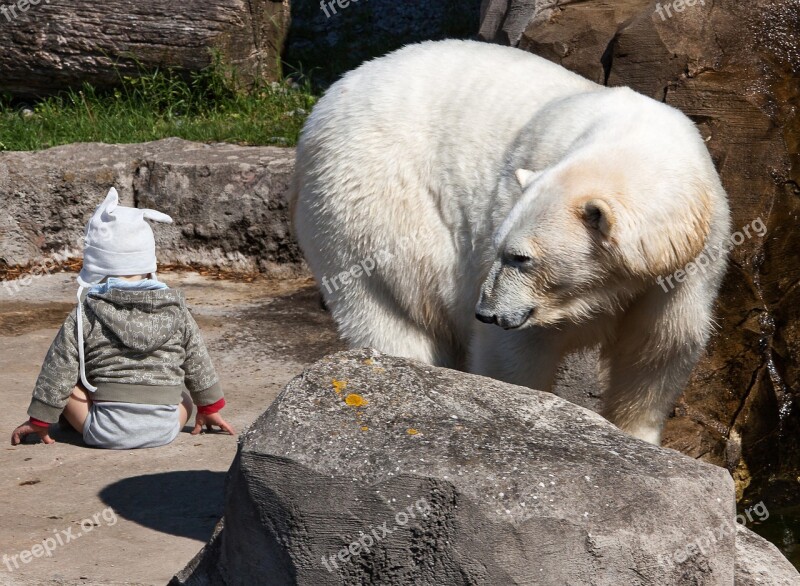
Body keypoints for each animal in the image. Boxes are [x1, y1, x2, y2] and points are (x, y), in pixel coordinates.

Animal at [294, 40, 732, 442]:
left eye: (522, 257)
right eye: (502, 249)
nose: (485, 312)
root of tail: (324, 103)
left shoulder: (688, 265)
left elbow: (657, 351)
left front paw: (637, 437)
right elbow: (515, 354)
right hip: (374, 205)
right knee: (389, 311)